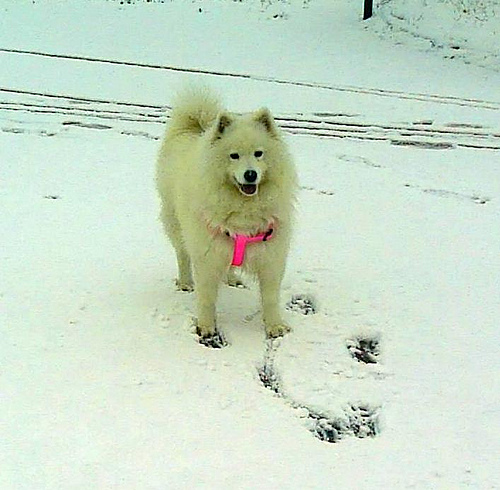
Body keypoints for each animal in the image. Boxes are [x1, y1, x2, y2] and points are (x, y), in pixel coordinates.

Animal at [156, 87, 297, 345]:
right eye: (234, 156)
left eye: (259, 154)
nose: (250, 174)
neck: (244, 208)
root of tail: (194, 128)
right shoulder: (207, 256)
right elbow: (206, 298)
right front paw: (206, 327)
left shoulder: (271, 256)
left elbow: (271, 297)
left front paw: (274, 327)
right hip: (176, 224)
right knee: (182, 254)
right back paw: (185, 282)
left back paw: (231, 278)